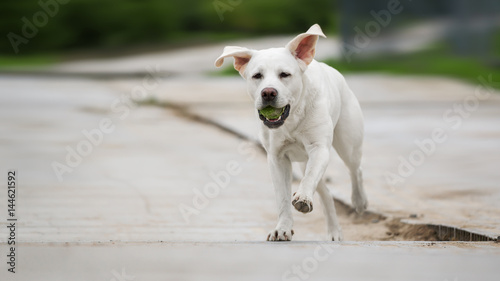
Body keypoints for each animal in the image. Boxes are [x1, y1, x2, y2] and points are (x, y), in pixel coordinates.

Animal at [215, 23, 368, 241]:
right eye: (257, 76)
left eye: (284, 74)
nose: (268, 92)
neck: (291, 119)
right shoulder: (277, 159)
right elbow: (282, 197)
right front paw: (283, 228)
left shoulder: (319, 149)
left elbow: (310, 178)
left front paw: (303, 197)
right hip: (307, 161)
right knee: (326, 193)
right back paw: (334, 231)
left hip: (348, 144)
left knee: (355, 170)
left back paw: (359, 201)